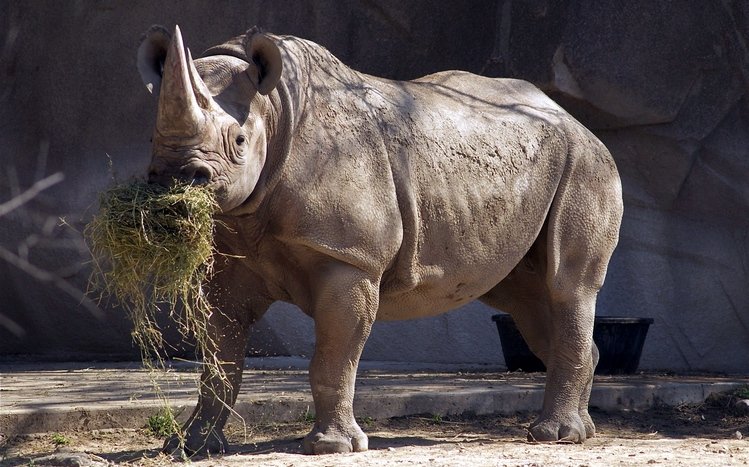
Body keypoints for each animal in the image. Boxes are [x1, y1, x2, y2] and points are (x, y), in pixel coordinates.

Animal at [136, 24, 623, 456]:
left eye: (239, 141)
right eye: (151, 138)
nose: (177, 178)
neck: (273, 109)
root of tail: (574, 119)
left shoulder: (350, 258)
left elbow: (334, 356)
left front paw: (331, 447)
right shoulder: (229, 260)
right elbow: (220, 360)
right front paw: (190, 447)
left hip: (586, 164)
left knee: (569, 286)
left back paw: (556, 436)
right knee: (524, 298)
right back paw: (582, 430)